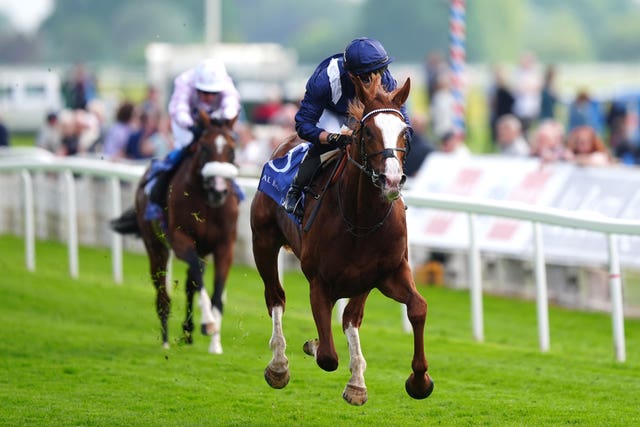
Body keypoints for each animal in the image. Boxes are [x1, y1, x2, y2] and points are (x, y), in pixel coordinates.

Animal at [134, 111, 240, 354]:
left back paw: (188, 332)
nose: (219, 190)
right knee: (162, 291)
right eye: (204, 148)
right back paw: (165, 339)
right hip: (156, 246)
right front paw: (208, 323)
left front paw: (215, 344)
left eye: (231, 150)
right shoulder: (181, 240)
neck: (208, 203)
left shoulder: (225, 247)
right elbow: (199, 279)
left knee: (191, 280)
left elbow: (217, 292)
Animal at [248, 73, 432, 404]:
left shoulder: (387, 273)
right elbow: (327, 356)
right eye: (368, 132)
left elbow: (417, 308)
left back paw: (357, 379)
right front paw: (313, 346)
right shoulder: (319, 282)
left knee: (350, 317)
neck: (362, 220)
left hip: (361, 282)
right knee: (275, 297)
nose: (392, 180)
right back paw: (279, 365)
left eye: (405, 132)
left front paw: (419, 381)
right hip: (263, 243)